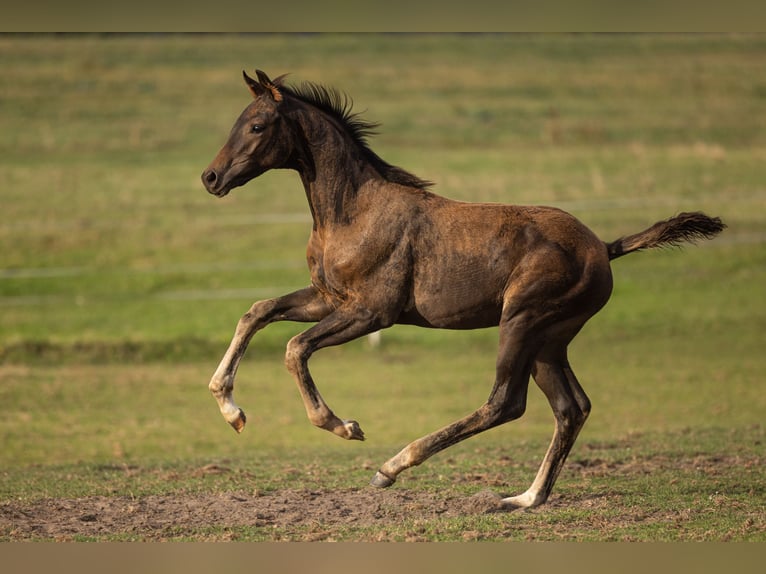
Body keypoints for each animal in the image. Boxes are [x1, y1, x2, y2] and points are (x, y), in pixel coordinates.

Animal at [201, 70, 725, 509]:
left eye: (257, 125)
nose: (210, 177)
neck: (353, 211)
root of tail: (604, 247)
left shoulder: (372, 312)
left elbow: (294, 348)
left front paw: (342, 425)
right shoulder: (329, 300)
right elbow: (258, 311)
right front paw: (230, 409)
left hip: (521, 321)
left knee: (506, 403)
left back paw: (393, 466)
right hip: (550, 341)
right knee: (571, 408)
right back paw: (525, 498)